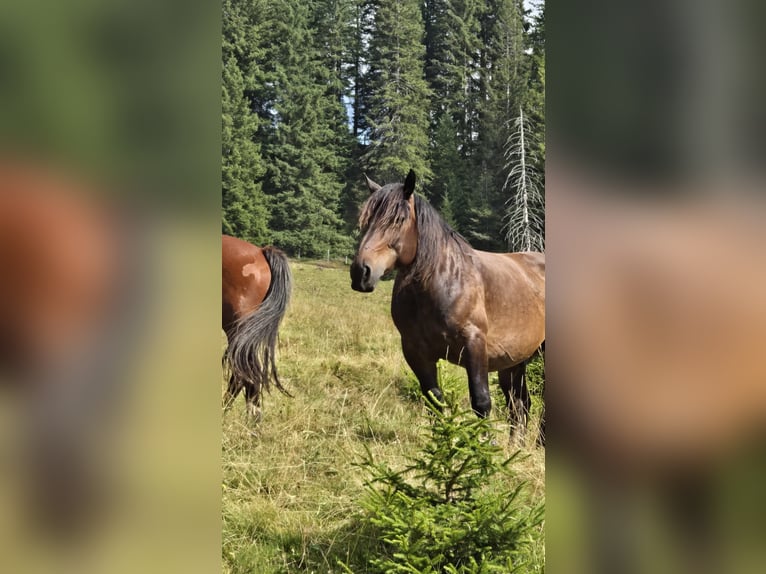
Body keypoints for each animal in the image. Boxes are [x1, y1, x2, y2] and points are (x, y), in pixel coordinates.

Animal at [350, 169, 545, 438]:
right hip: (515, 360)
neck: (442, 282)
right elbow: (434, 401)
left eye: (398, 219)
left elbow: (481, 402)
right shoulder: (415, 352)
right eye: (366, 220)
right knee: (519, 404)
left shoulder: (474, 345)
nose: (361, 272)